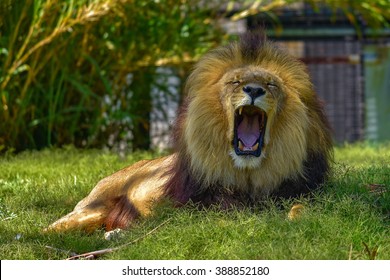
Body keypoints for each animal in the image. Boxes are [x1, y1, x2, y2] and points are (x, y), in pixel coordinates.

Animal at [45, 30, 332, 233]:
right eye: (236, 82)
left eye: (271, 84)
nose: (253, 90)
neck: (249, 174)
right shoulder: (197, 204)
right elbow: (224, 217)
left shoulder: (302, 192)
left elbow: (302, 209)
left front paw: (294, 219)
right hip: (90, 209)